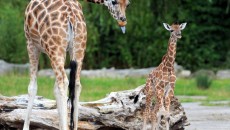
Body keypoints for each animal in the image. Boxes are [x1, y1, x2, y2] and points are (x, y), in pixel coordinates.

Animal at [24, 0, 130, 129]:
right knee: (76, 84)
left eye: (128, 4)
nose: (123, 19)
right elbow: (55, 89)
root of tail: (71, 16)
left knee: (63, 82)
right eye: (114, 2)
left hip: (55, 48)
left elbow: (32, 87)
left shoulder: (31, 42)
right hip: (79, 46)